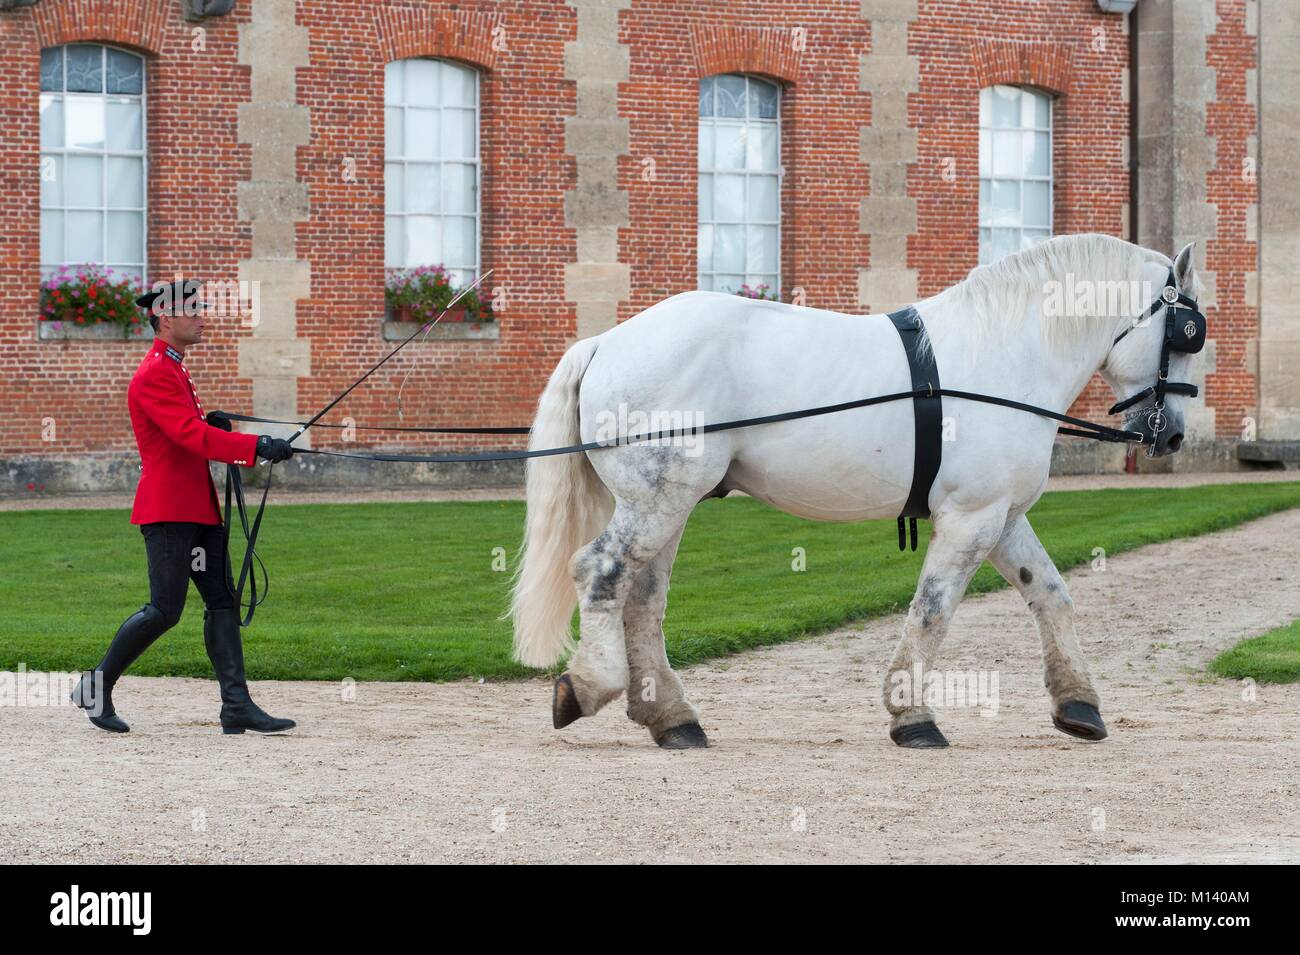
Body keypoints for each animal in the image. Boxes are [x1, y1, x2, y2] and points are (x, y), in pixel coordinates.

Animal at [504, 235, 1196, 748]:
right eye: (1188, 332)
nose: (1171, 435)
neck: (1001, 358)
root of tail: (606, 341)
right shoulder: (970, 518)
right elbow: (932, 611)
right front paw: (912, 715)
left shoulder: (1000, 515)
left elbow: (1051, 594)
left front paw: (1078, 704)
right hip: (657, 500)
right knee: (601, 570)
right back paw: (589, 686)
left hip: (668, 503)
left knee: (642, 598)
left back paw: (672, 716)